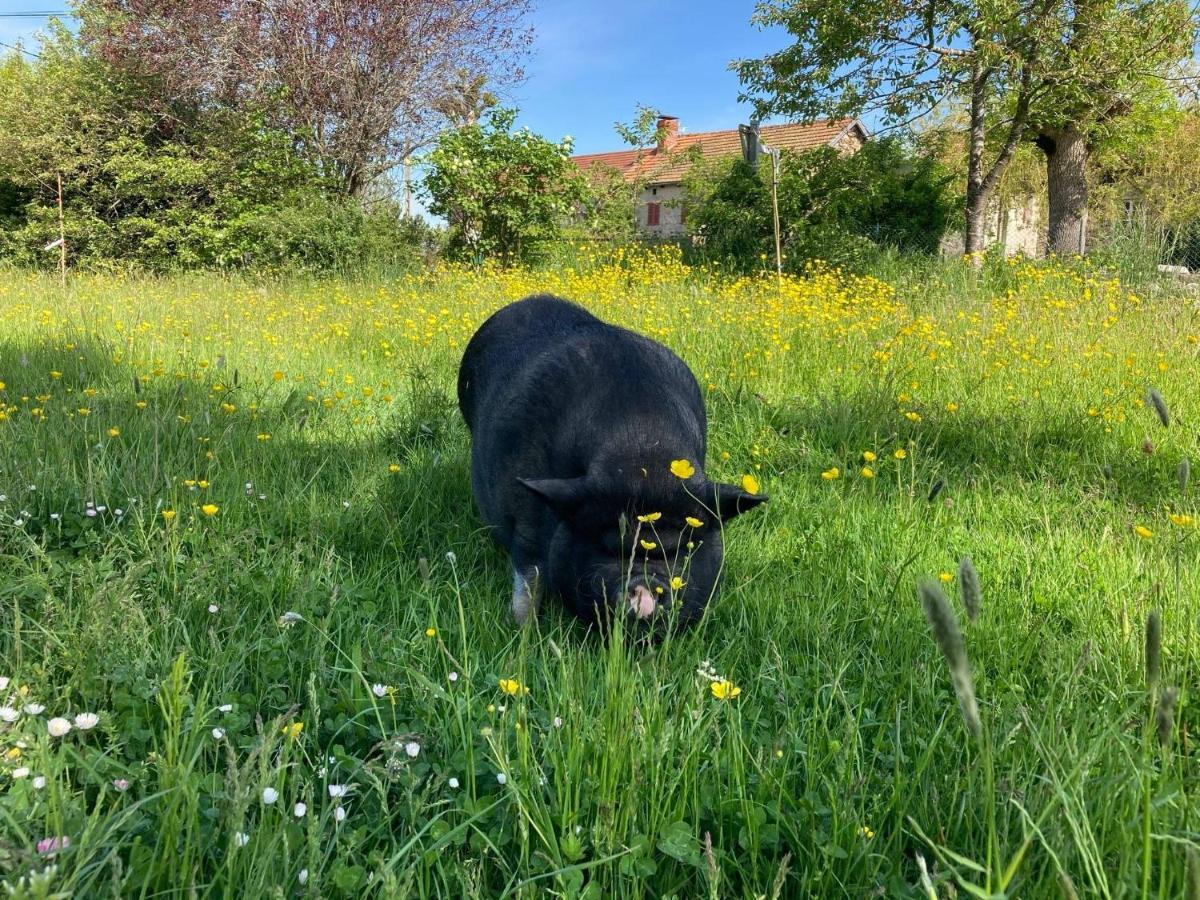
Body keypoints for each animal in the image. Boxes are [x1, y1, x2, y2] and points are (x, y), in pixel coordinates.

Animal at [453, 296, 763, 633]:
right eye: (607, 546)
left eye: (682, 548)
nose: (644, 589)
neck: (641, 453)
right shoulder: (526, 517)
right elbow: (529, 577)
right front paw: (524, 631)